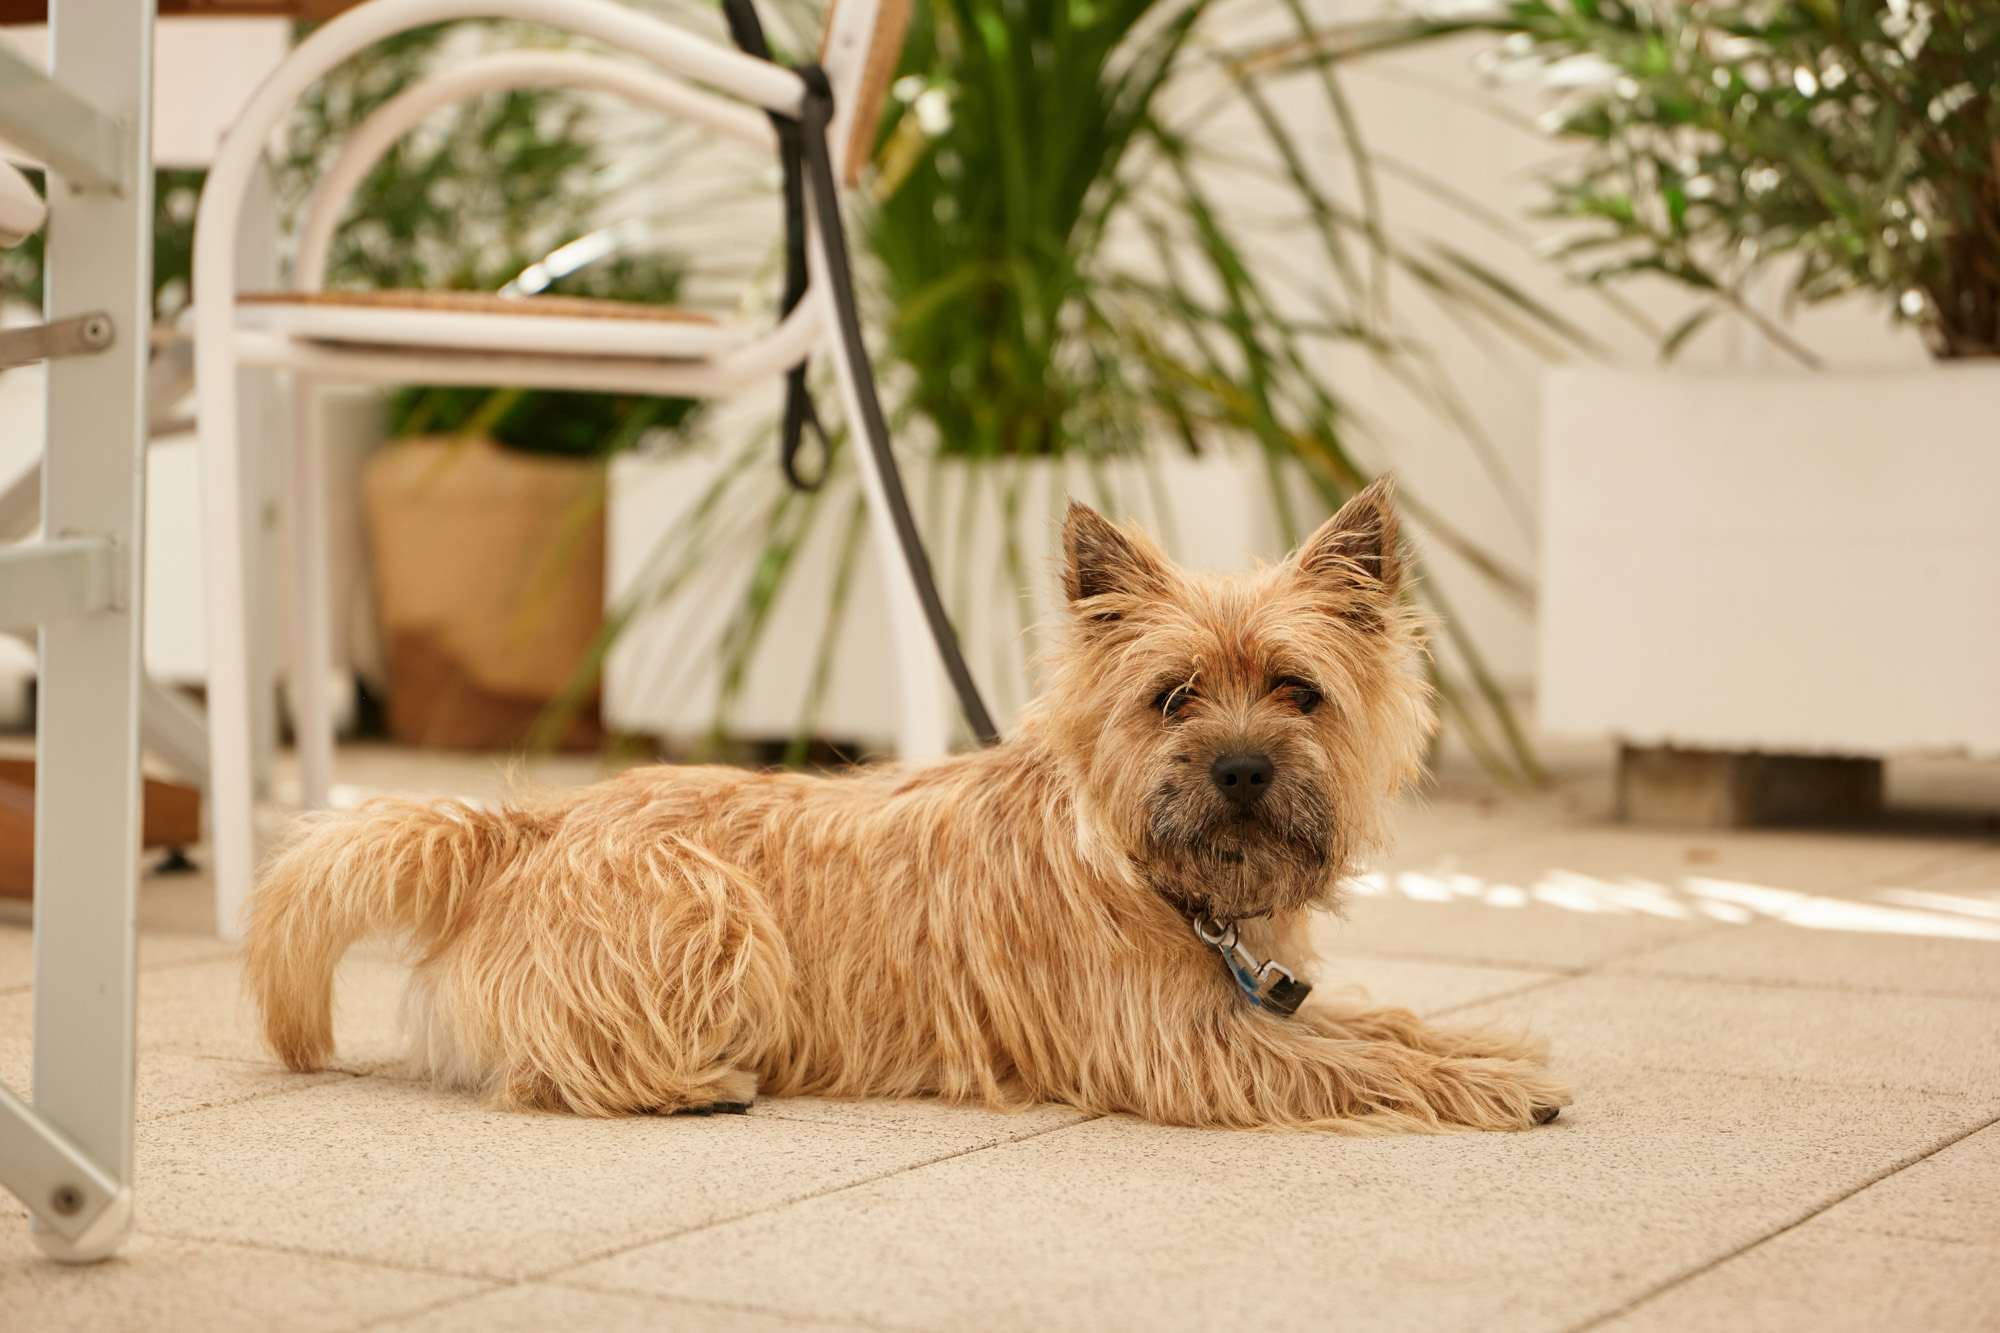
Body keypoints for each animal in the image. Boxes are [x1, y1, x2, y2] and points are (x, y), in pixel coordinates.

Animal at [246, 478, 1560, 1120]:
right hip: (711, 911)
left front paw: (1483, 1045)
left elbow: (1376, 1024)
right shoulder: (1189, 1051)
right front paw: (1488, 1087)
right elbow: (1353, 1061)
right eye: (1172, 697)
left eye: (1297, 690)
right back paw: (698, 1085)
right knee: (551, 1070)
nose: (1241, 769)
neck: (1150, 876)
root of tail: (517, 824)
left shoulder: (1248, 1008)